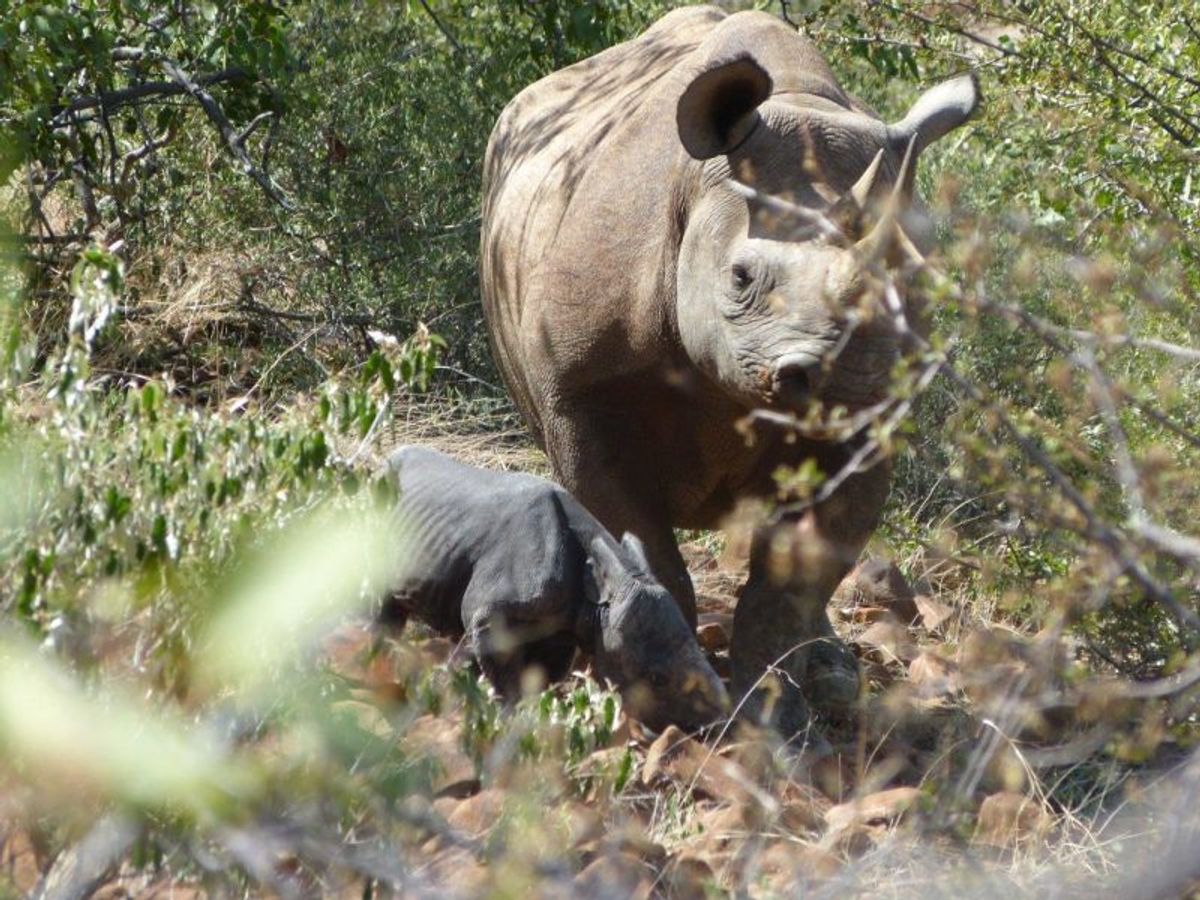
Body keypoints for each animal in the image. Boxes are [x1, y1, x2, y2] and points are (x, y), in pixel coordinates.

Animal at [379, 444, 724, 734]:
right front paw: (507, 719)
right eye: (658, 679)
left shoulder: (560, 629)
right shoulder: (488, 616)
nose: (710, 729)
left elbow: (540, 679)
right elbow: (506, 681)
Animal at [482, 8, 979, 739]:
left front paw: (776, 719)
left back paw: (833, 679)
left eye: (906, 287)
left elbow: (792, 581)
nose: (840, 382)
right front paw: (658, 699)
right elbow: (649, 552)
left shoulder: (872, 428)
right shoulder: (579, 394)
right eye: (741, 277)